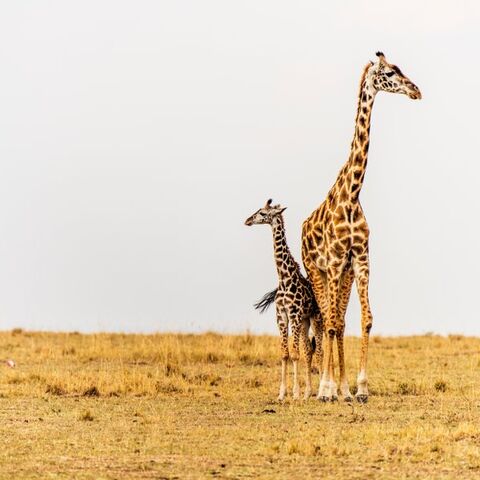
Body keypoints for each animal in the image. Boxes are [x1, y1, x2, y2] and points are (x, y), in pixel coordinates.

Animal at [248, 199, 322, 402]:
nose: (247, 220)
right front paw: (282, 394)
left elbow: (295, 354)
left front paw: (295, 394)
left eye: (263, 213)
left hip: (315, 319)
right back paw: (308, 393)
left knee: (320, 351)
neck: (284, 279)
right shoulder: (281, 315)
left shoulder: (294, 315)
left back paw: (323, 390)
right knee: (308, 351)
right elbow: (285, 354)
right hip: (304, 322)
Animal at [304, 52, 420, 404]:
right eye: (390, 72)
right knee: (325, 320)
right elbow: (329, 323)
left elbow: (365, 319)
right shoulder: (333, 261)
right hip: (316, 270)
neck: (352, 195)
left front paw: (360, 388)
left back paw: (341, 389)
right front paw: (326, 389)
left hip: (343, 274)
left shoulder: (360, 259)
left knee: (338, 321)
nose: (416, 90)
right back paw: (325, 388)